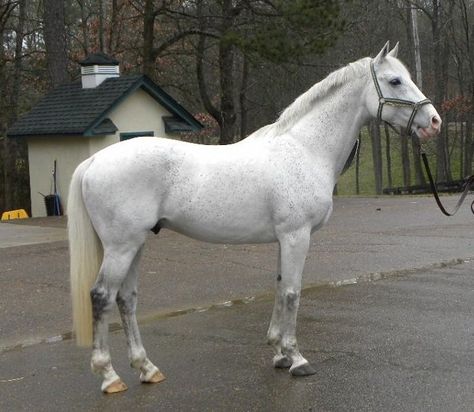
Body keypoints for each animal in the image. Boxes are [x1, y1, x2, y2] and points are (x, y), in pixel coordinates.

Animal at [66, 41, 440, 392]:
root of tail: (94, 161)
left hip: (136, 244)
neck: (306, 149)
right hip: (121, 247)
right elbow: (292, 292)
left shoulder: (285, 239)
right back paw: (109, 376)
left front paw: (278, 352)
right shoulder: (296, 236)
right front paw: (297, 358)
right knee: (101, 296)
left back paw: (146, 369)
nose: (434, 122)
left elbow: (279, 286)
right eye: (395, 81)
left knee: (126, 299)